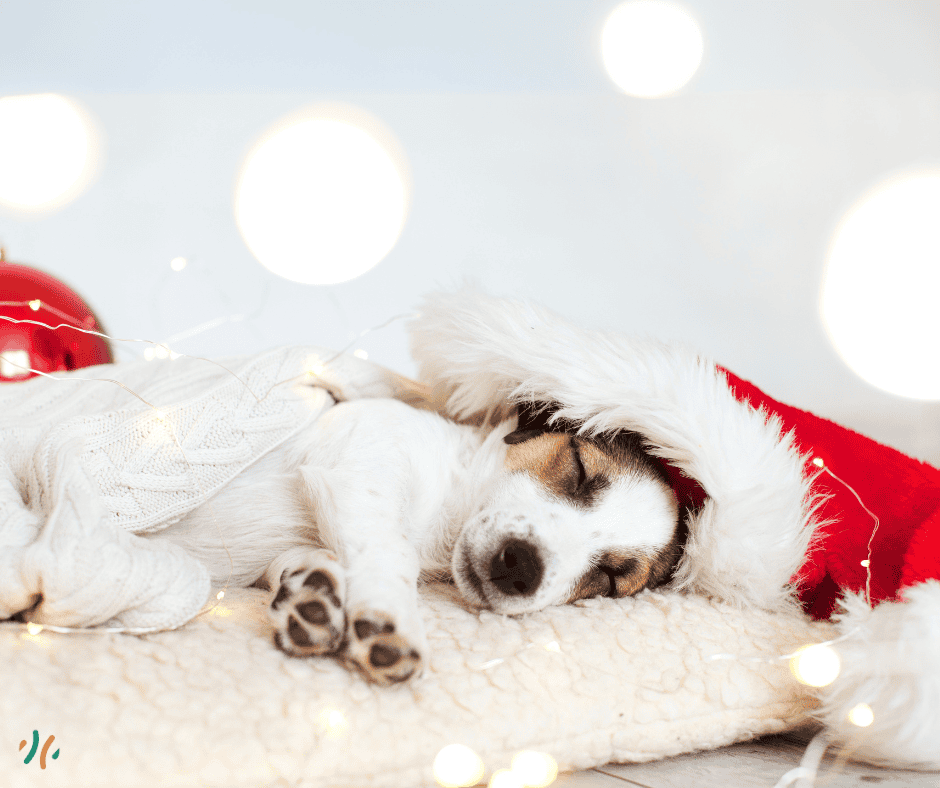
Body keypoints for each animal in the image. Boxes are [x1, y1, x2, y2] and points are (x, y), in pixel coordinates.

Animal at [156, 392, 684, 684]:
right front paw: (390, 620)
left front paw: (313, 596)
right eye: (578, 470)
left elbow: (305, 561)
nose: (522, 567)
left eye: (611, 579)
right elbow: (393, 554)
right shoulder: (357, 471)